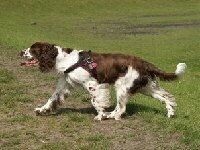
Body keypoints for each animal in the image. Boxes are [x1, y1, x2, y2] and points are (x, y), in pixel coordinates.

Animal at [19, 41, 186, 120]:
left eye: (32, 49)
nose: (21, 52)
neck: (63, 59)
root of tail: (143, 62)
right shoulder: (63, 85)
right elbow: (51, 98)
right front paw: (41, 110)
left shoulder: (93, 84)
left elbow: (95, 101)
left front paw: (100, 115)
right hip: (146, 87)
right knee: (166, 97)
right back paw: (170, 113)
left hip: (122, 86)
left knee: (121, 108)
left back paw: (110, 115)